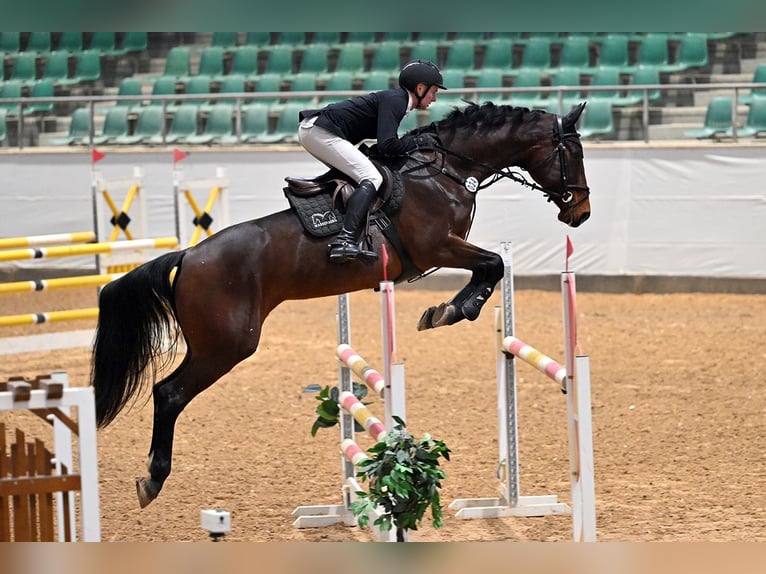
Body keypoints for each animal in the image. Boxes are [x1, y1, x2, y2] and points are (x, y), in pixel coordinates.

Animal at [90, 101, 591, 508]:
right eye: (574, 154)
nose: (580, 214)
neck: (445, 170)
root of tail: (188, 255)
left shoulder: (446, 250)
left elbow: (490, 267)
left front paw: (443, 311)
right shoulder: (438, 247)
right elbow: (494, 264)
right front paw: (451, 311)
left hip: (211, 343)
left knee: (167, 390)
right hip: (227, 345)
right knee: (169, 393)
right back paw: (153, 479)